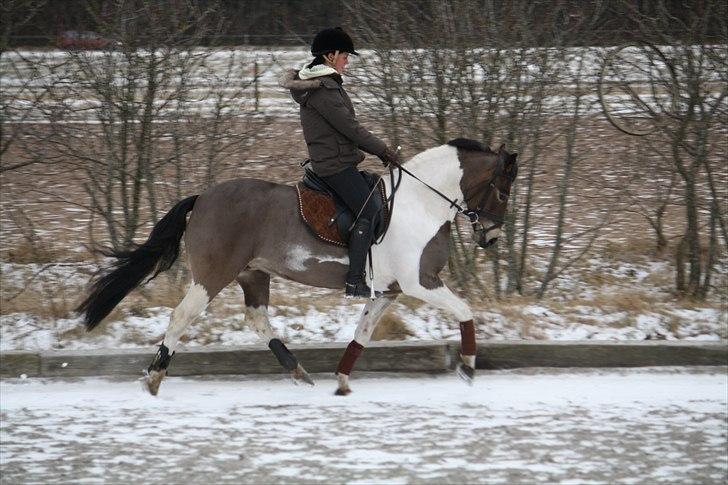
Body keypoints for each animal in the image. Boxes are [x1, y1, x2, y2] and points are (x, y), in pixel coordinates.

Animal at [77, 138, 516, 396]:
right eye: (502, 189)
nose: (492, 237)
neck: (422, 203)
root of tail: (202, 198)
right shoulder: (420, 282)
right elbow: (464, 310)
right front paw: (468, 368)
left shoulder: (387, 292)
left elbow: (362, 333)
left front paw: (342, 380)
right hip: (213, 274)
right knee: (182, 316)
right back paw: (154, 378)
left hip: (253, 273)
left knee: (257, 319)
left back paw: (299, 372)